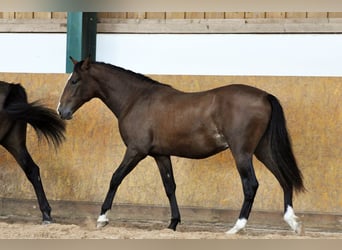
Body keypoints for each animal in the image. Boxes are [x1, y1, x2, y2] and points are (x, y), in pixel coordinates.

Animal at [57, 57, 304, 233]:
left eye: (74, 80)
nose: (62, 111)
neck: (136, 99)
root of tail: (264, 96)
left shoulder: (136, 151)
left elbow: (115, 178)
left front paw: (102, 218)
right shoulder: (161, 155)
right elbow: (170, 187)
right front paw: (173, 223)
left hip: (242, 153)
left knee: (251, 185)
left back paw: (237, 227)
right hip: (262, 150)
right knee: (284, 178)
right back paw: (292, 222)